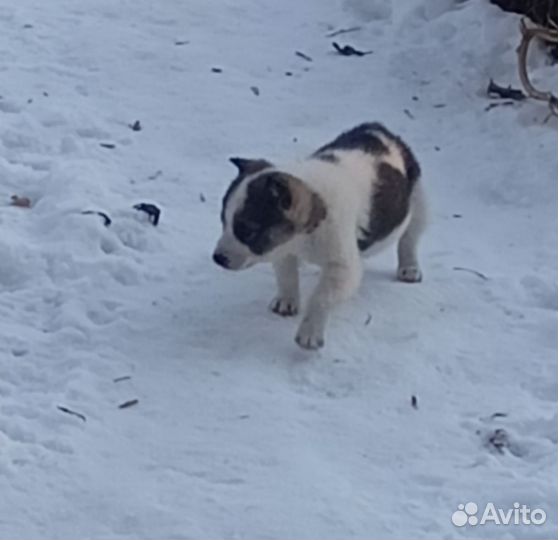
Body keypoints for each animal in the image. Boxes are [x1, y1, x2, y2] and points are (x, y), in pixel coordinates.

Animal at [212, 123, 426, 350]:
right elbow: (287, 276)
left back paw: (409, 267)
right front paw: (286, 300)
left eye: (248, 230)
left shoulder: (343, 268)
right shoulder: (283, 248)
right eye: (223, 222)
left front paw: (309, 333)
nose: (217, 258)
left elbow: (321, 297)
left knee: (409, 238)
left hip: (419, 202)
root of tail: (379, 129)